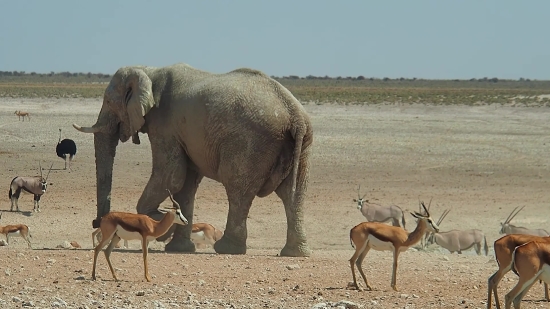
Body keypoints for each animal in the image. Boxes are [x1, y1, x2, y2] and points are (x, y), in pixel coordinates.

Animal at [73, 62, 314, 255]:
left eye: (108, 101)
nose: (97, 221)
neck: (149, 70)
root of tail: (295, 116)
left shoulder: (164, 124)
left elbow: (171, 175)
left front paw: (161, 223)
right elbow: (186, 183)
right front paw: (177, 247)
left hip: (250, 144)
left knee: (238, 190)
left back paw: (227, 249)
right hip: (301, 147)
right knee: (294, 195)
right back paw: (295, 253)